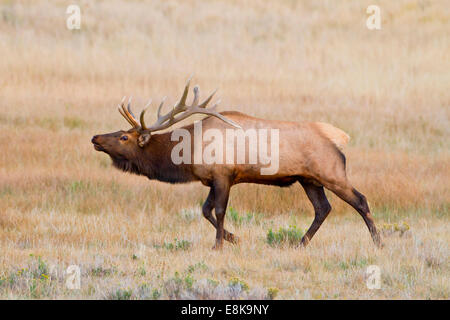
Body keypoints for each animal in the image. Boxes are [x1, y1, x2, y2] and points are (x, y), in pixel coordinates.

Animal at [93, 79, 382, 249]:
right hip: (309, 180)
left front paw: (219, 245)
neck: (189, 150)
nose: (95, 138)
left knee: (360, 200)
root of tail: (340, 139)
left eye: (124, 137)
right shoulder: (212, 180)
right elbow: (205, 210)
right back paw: (300, 243)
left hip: (331, 173)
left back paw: (378, 242)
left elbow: (219, 211)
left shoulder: (224, 175)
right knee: (323, 208)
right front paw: (233, 238)